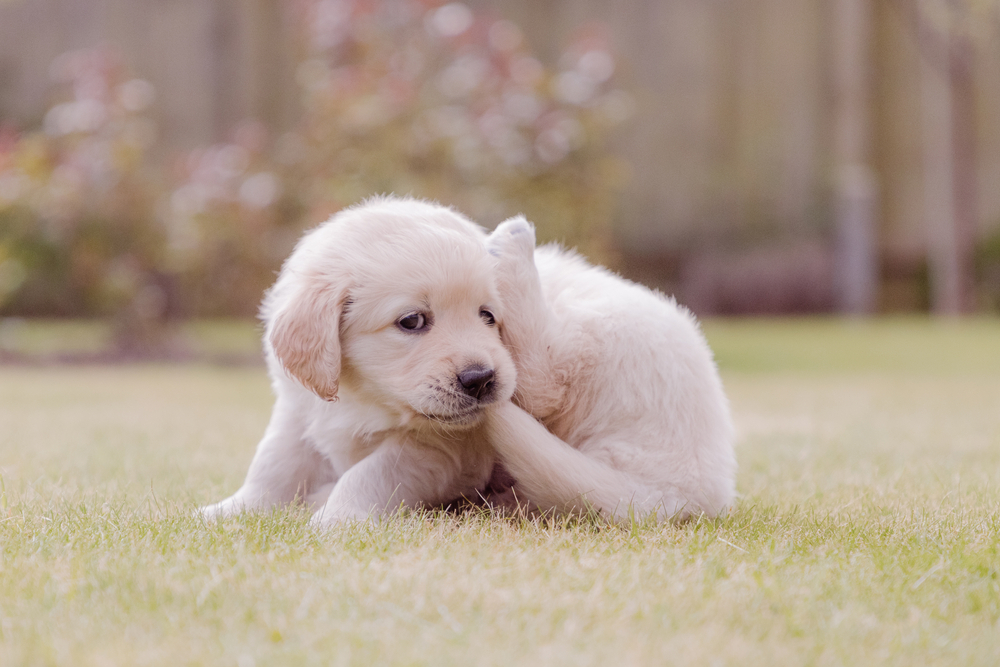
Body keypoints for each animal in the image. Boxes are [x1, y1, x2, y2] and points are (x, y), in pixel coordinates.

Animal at [203, 198, 516, 528]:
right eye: (412, 321)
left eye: (487, 315)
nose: (480, 378)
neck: (364, 399)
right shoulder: (299, 409)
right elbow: (274, 461)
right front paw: (231, 509)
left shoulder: (441, 445)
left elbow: (369, 472)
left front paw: (337, 517)